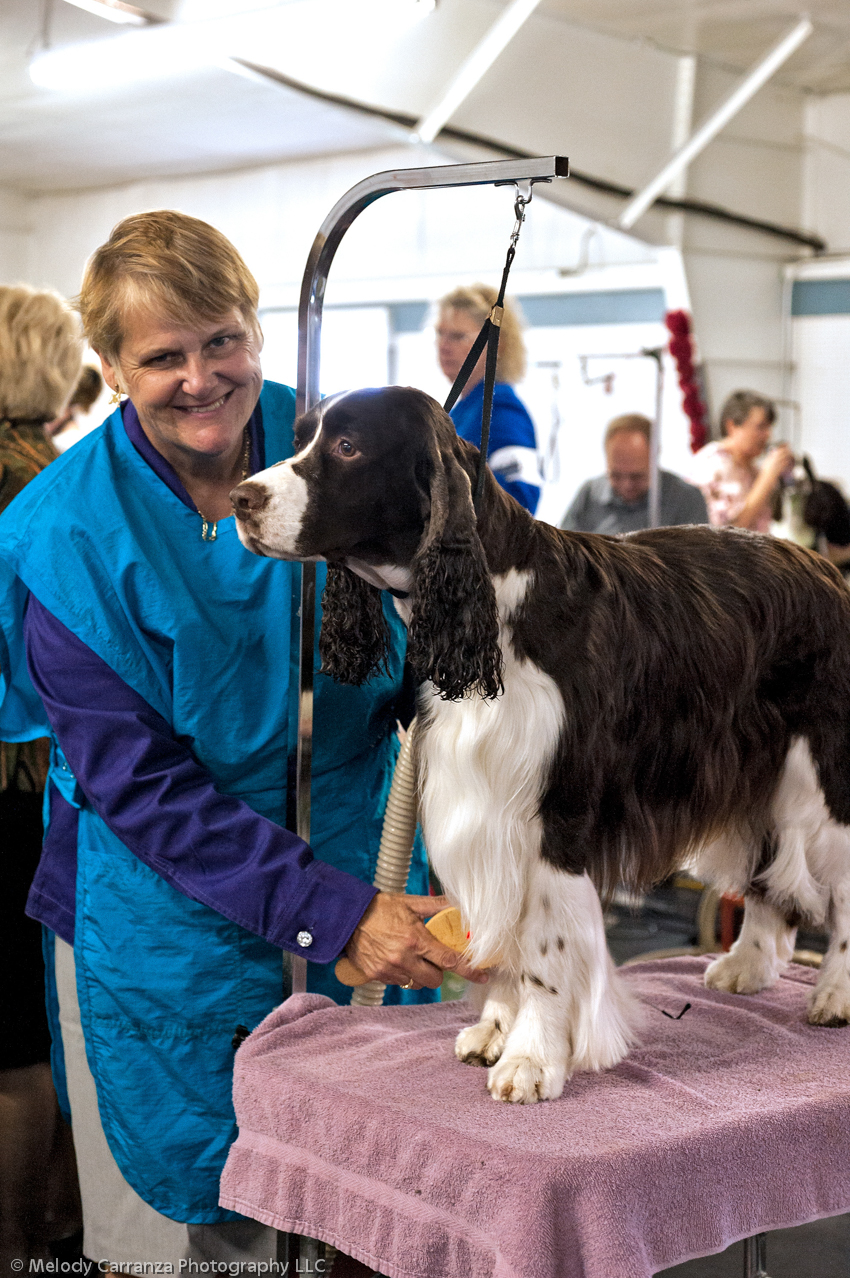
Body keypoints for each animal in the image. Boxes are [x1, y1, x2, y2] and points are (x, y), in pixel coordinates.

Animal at [233, 383, 850, 1104]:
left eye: (348, 447)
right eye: (301, 436)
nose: (240, 498)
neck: (495, 607)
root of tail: (827, 572)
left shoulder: (559, 813)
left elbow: (547, 950)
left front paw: (532, 1058)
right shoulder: (479, 803)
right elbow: (503, 934)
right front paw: (497, 1028)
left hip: (822, 774)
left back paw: (835, 992)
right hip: (759, 767)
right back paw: (747, 964)